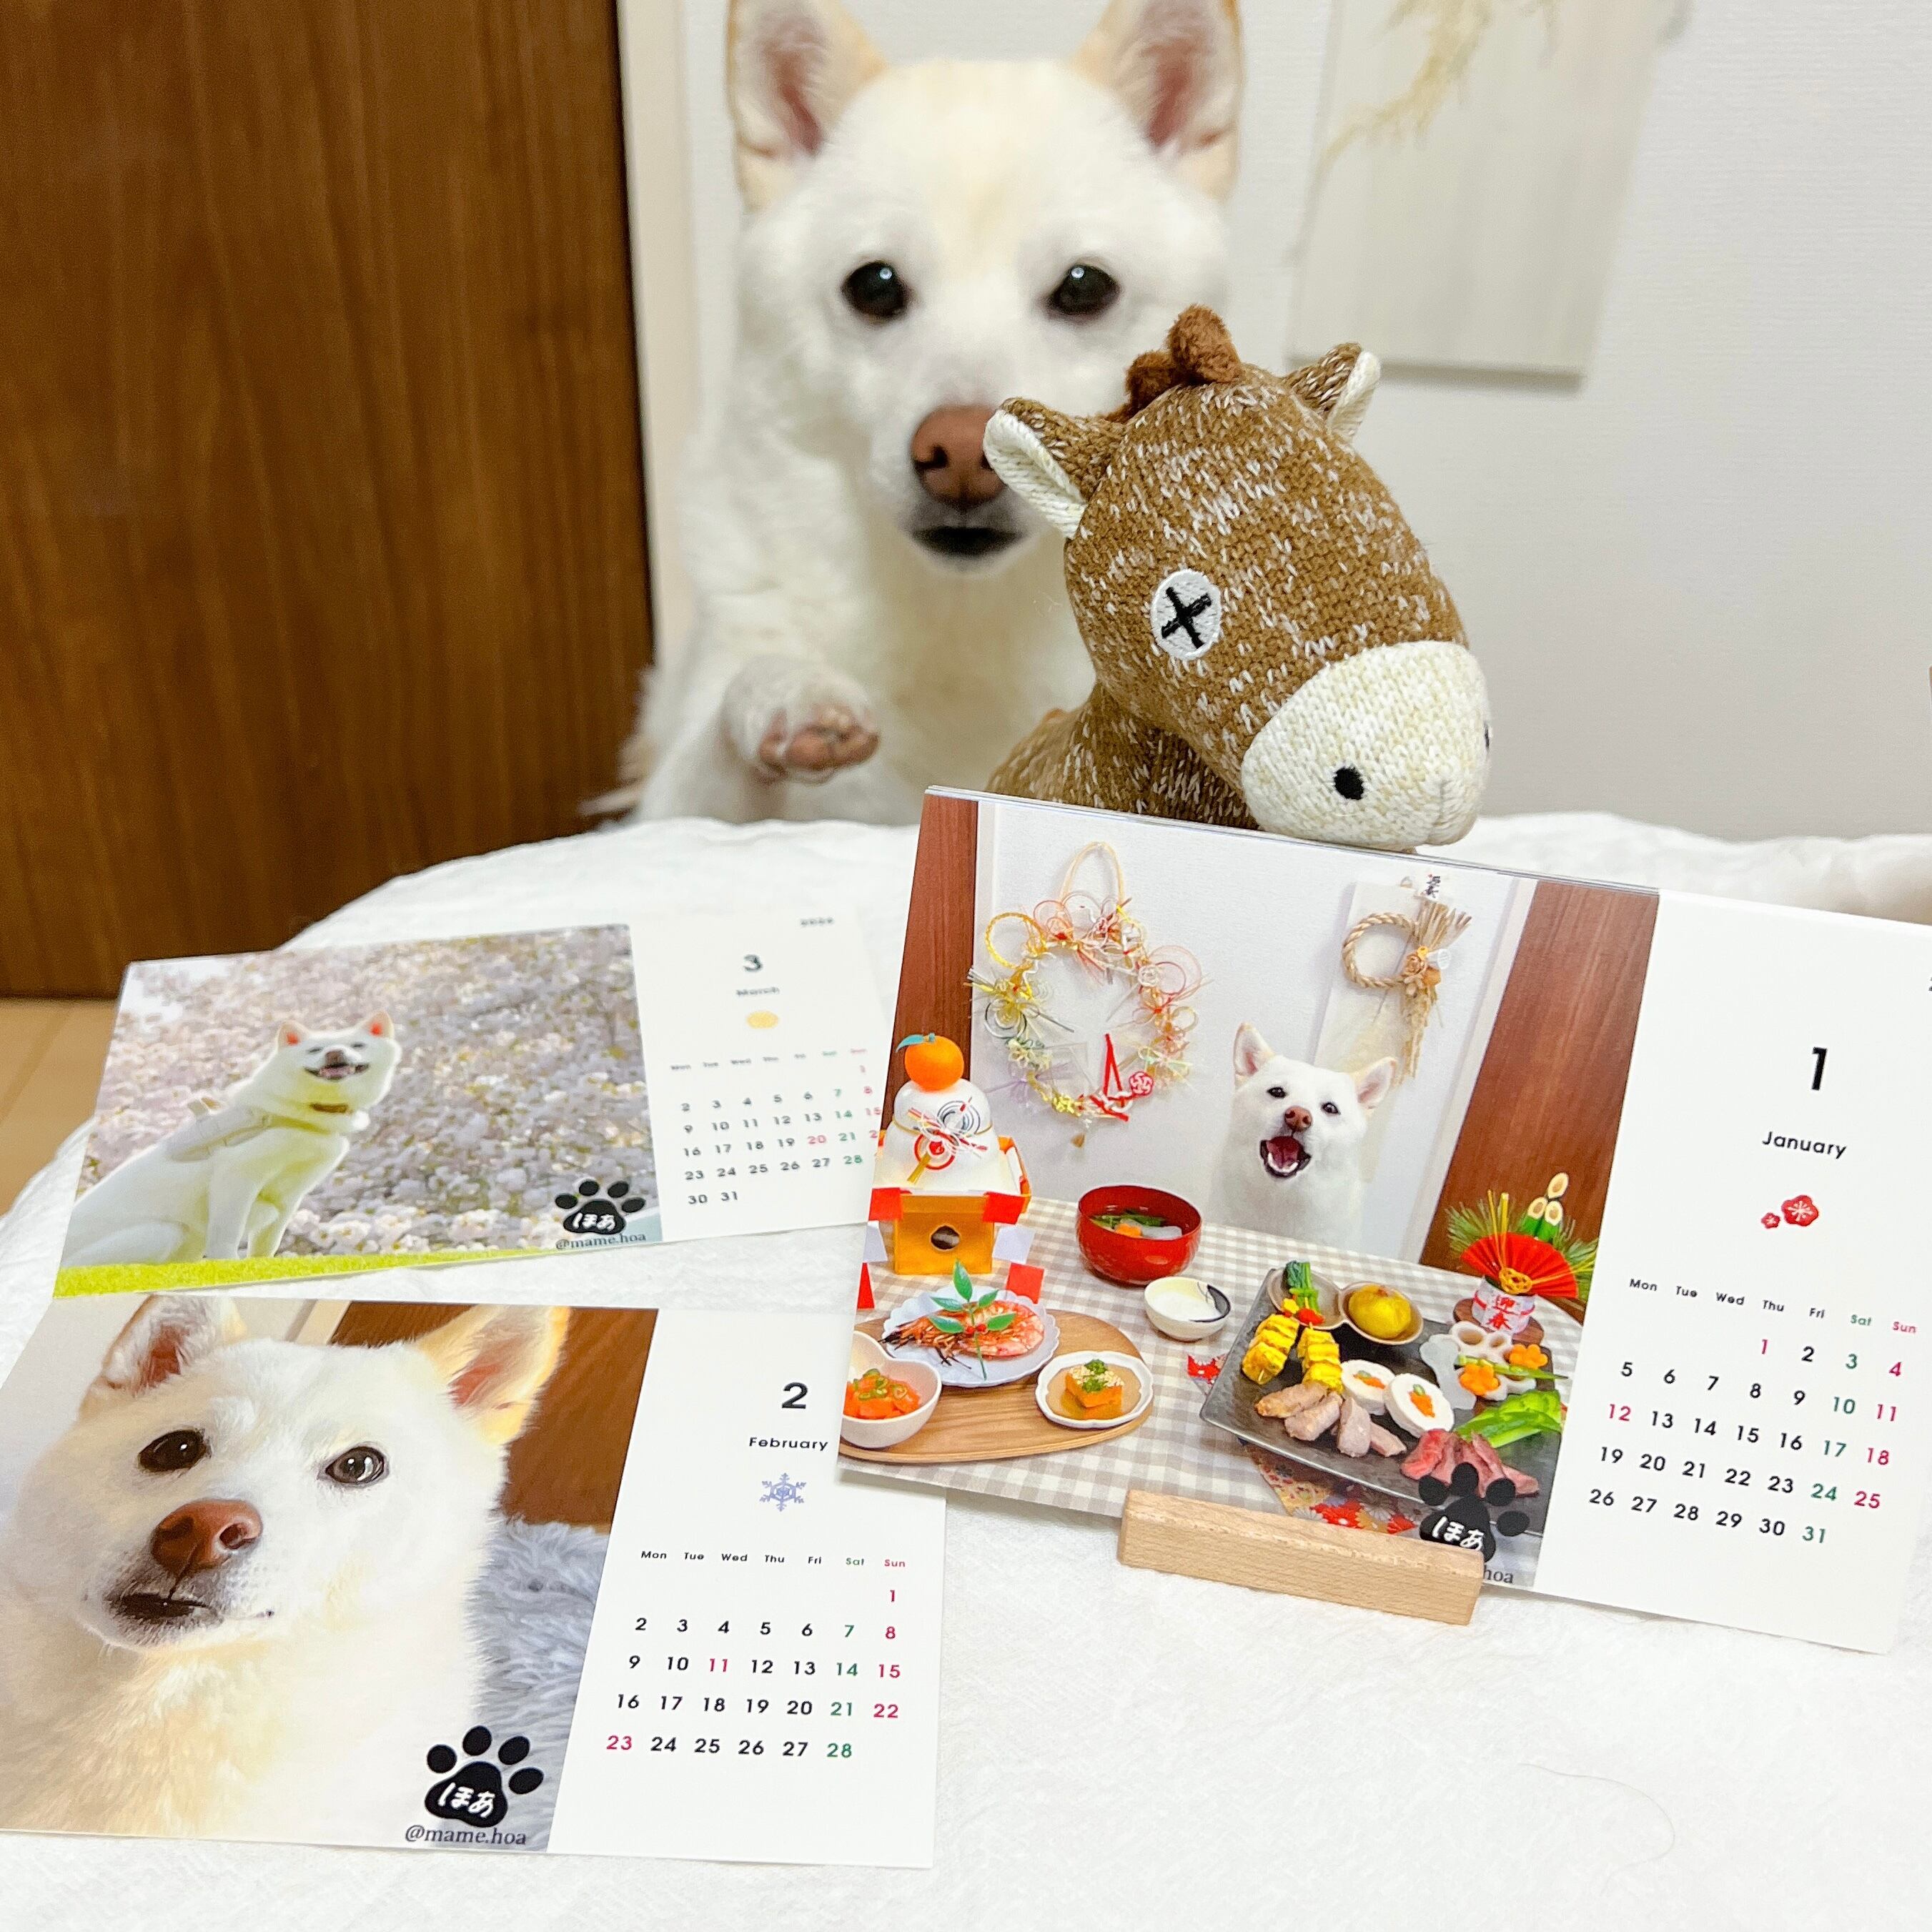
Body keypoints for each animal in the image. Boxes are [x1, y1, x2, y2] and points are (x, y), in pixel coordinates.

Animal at [63, 1016, 402, 1268]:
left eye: (358, 1045)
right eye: (314, 1050)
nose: (334, 1053)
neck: (293, 1115)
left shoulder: (290, 1194)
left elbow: (269, 1240)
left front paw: (262, 1268)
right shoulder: (236, 1176)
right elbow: (227, 1232)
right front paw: (229, 1266)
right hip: (161, 1233)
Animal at [617, 0, 1243, 824]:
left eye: (1083, 287)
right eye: (874, 286)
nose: (963, 453)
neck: (959, 618)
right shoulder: (672, 803)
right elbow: (723, 744)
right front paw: (787, 696)